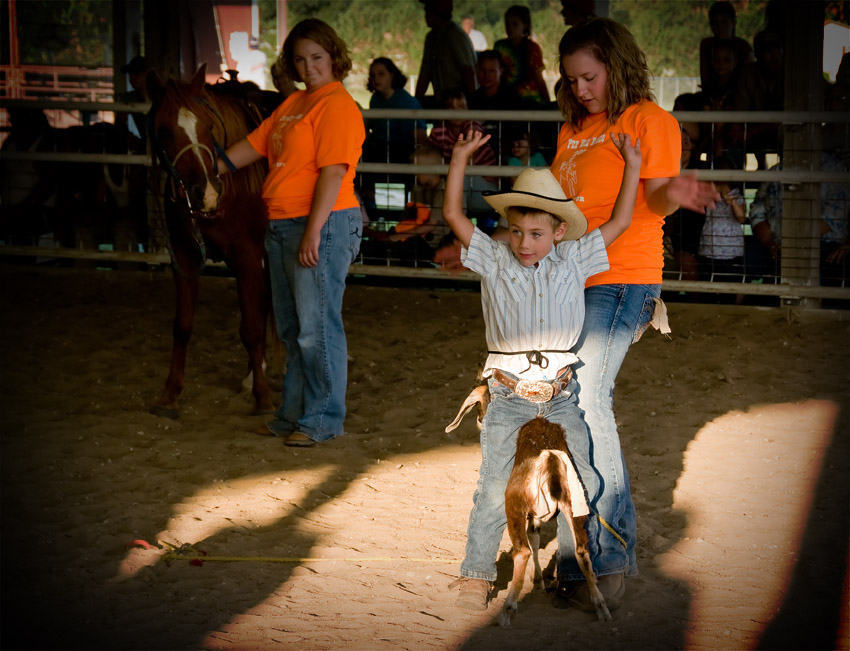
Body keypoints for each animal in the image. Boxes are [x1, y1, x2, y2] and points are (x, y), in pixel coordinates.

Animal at [145, 65, 272, 418]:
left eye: (209, 125)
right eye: (163, 131)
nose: (207, 193)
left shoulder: (247, 255)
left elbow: (250, 327)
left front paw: (262, 397)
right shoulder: (184, 255)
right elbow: (182, 326)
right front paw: (170, 394)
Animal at [448, 388, 608, 628]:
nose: (480, 420)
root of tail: (549, 457)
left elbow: (529, 547)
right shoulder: (535, 518)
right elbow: (535, 540)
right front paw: (539, 581)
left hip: (513, 507)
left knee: (521, 551)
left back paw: (507, 610)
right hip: (573, 509)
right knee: (581, 551)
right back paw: (600, 607)